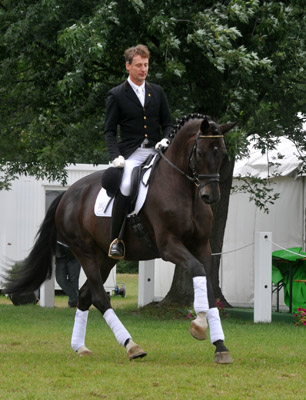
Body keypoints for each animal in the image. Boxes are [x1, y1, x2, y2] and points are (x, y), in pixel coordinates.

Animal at [3, 114, 235, 364]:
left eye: (223, 154)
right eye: (200, 153)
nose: (210, 196)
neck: (185, 190)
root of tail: (67, 194)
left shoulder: (202, 246)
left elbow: (209, 287)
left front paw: (220, 347)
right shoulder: (169, 246)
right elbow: (197, 270)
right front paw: (199, 325)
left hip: (105, 257)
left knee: (85, 295)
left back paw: (80, 347)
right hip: (84, 251)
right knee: (99, 298)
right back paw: (132, 346)